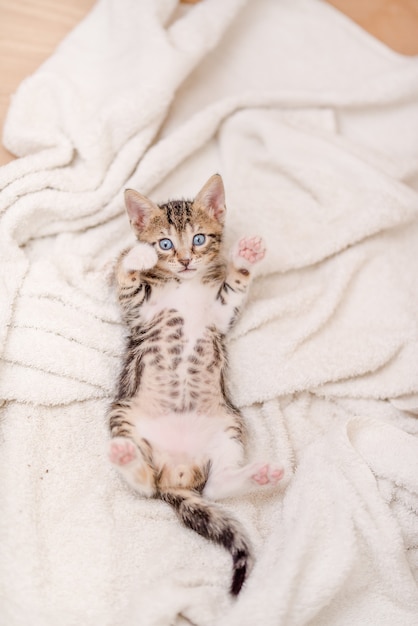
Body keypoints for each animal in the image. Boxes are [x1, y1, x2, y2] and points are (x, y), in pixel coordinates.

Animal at [108, 173, 284, 592]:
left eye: (200, 238)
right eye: (165, 243)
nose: (186, 260)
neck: (185, 284)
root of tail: (178, 473)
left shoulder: (220, 313)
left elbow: (235, 288)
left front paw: (246, 257)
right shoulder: (136, 309)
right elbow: (125, 278)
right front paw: (136, 258)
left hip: (228, 424)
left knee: (215, 486)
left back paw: (257, 475)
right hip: (125, 414)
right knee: (146, 487)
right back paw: (126, 457)